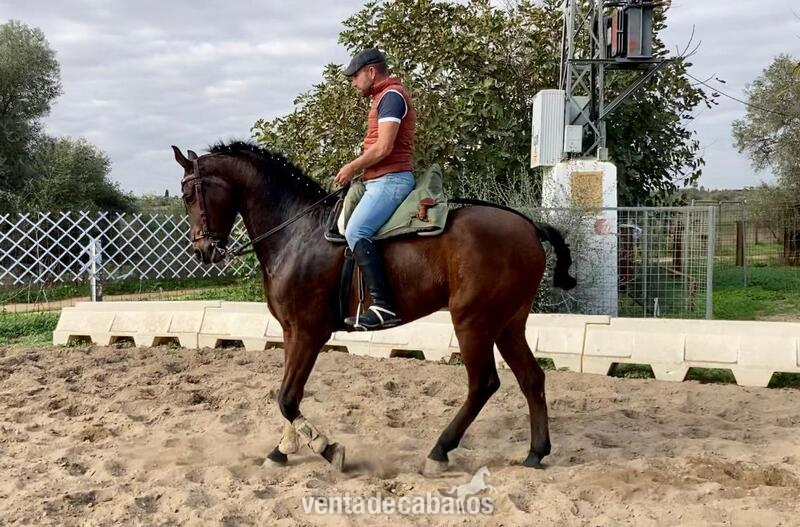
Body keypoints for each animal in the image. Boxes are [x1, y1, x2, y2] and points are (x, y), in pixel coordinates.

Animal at [172, 140, 576, 475]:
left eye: (189, 195)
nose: (202, 251)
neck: (297, 234)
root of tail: (529, 226)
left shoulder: (307, 332)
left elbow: (287, 398)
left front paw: (326, 448)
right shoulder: (290, 332)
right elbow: (287, 394)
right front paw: (282, 449)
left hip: (473, 322)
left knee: (483, 384)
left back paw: (439, 452)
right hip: (507, 323)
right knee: (531, 379)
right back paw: (536, 452)